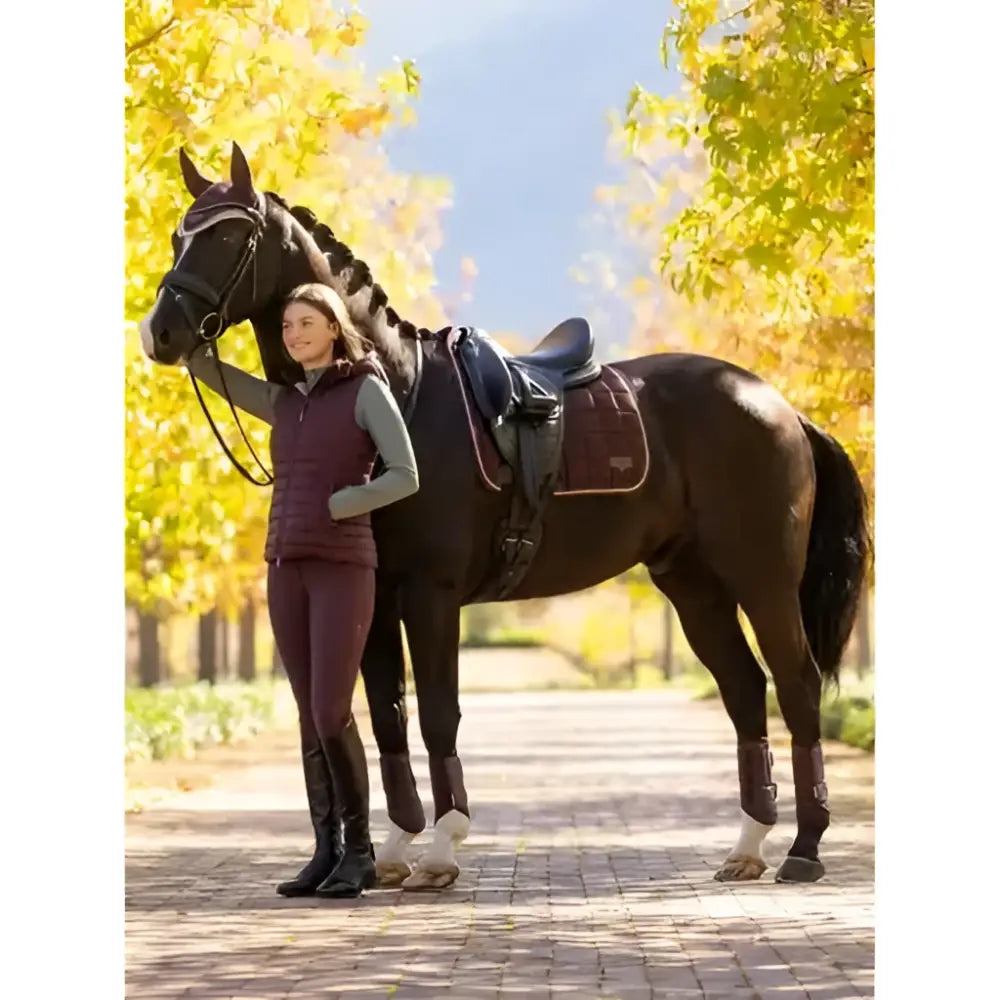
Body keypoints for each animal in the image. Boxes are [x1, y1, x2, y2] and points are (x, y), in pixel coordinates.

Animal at [138, 144, 870, 890]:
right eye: (177, 237)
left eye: (230, 235)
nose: (161, 333)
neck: (402, 393)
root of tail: (779, 406)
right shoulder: (375, 599)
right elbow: (387, 718)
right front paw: (395, 852)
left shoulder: (430, 595)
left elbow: (437, 715)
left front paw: (439, 850)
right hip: (693, 585)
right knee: (746, 690)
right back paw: (748, 846)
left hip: (763, 579)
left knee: (797, 686)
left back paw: (805, 848)